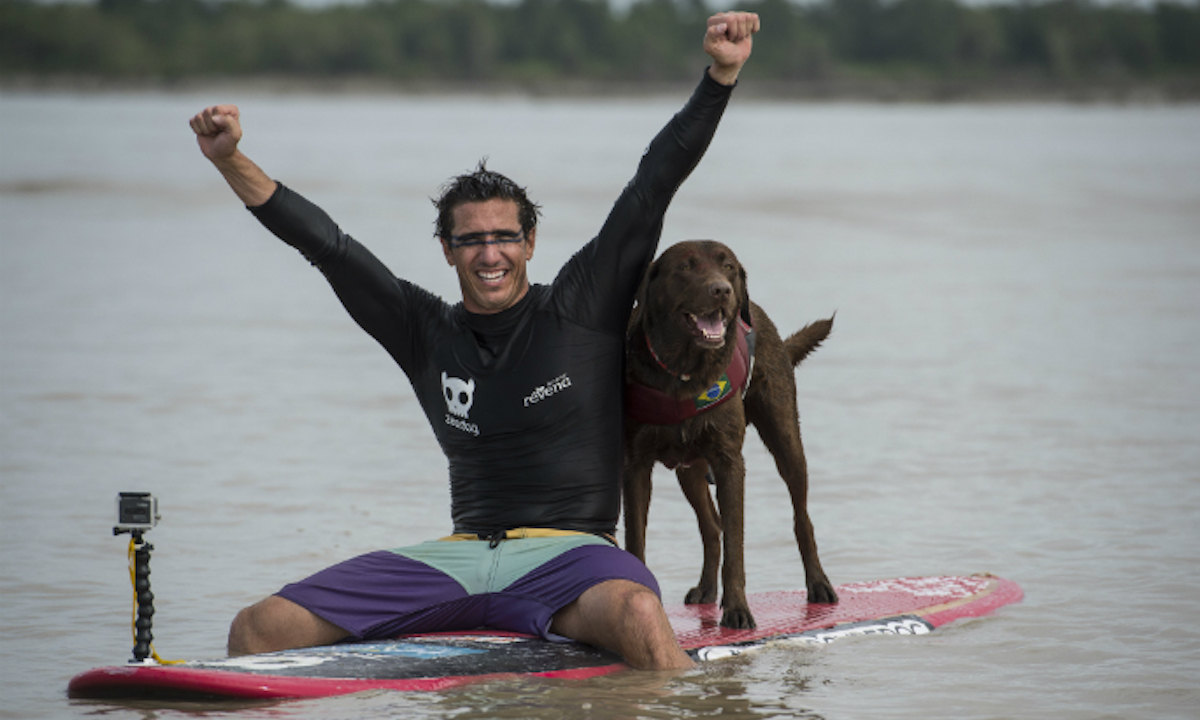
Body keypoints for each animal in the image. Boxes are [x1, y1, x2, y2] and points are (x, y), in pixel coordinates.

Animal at [624, 238, 840, 628]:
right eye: (686, 267)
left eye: (728, 267)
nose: (721, 290)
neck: (683, 373)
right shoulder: (635, 465)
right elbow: (637, 540)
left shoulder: (729, 463)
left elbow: (736, 544)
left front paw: (737, 608)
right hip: (690, 467)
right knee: (711, 526)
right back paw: (706, 589)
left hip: (786, 440)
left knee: (801, 517)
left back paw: (818, 584)